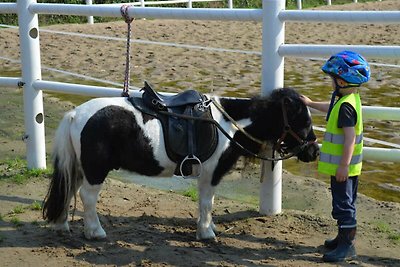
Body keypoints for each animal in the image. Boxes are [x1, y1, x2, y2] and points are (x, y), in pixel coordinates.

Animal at [43, 87, 318, 241]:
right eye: (303, 122)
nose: (314, 151)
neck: (227, 125)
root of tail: (75, 114)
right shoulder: (210, 174)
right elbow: (207, 202)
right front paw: (206, 233)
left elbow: (209, 203)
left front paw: (209, 227)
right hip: (95, 171)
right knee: (87, 197)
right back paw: (95, 232)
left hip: (81, 168)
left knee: (68, 189)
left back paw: (61, 225)